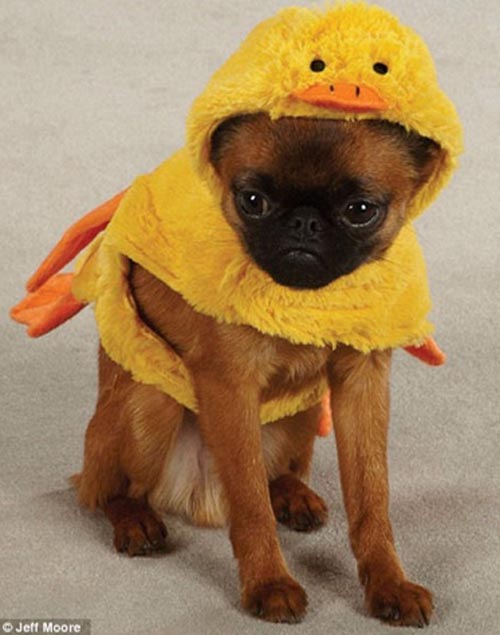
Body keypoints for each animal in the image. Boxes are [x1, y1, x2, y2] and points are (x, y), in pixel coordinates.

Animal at [72, 113, 442, 626]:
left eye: (361, 210)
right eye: (252, 200)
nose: (304, 222)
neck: (307, 299)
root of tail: (200, 495)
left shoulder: (363, 387)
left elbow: (371, 496)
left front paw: (390, 583)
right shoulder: (230, 389)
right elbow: (249, 503)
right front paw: (269, 583)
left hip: (304, 411)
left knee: (277, 471)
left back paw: (293, 494)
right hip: (150, 402)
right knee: (109, 491)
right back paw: (135, 521)